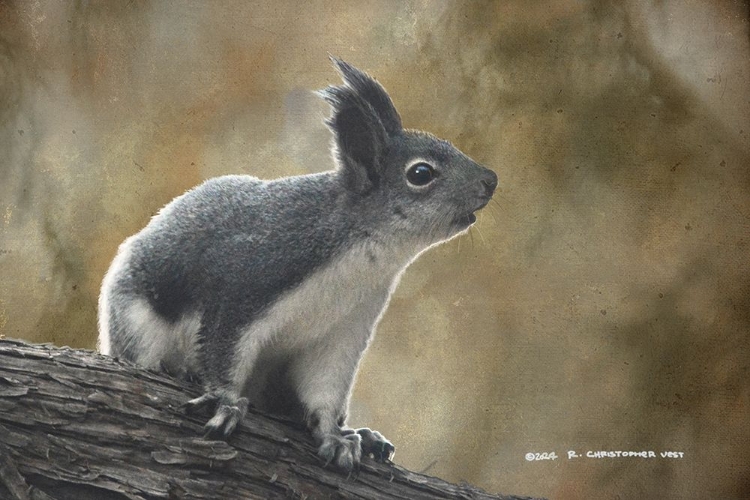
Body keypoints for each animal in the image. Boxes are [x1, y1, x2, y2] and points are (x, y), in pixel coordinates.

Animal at [97, 57, 497, 471]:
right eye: (421, 173)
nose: (491, 181)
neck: (364, 259)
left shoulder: (344, 327)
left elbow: (324, 389)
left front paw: (334, 436)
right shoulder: (252, 278)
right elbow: (223, 349)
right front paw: (225, 401)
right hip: (136, 323)